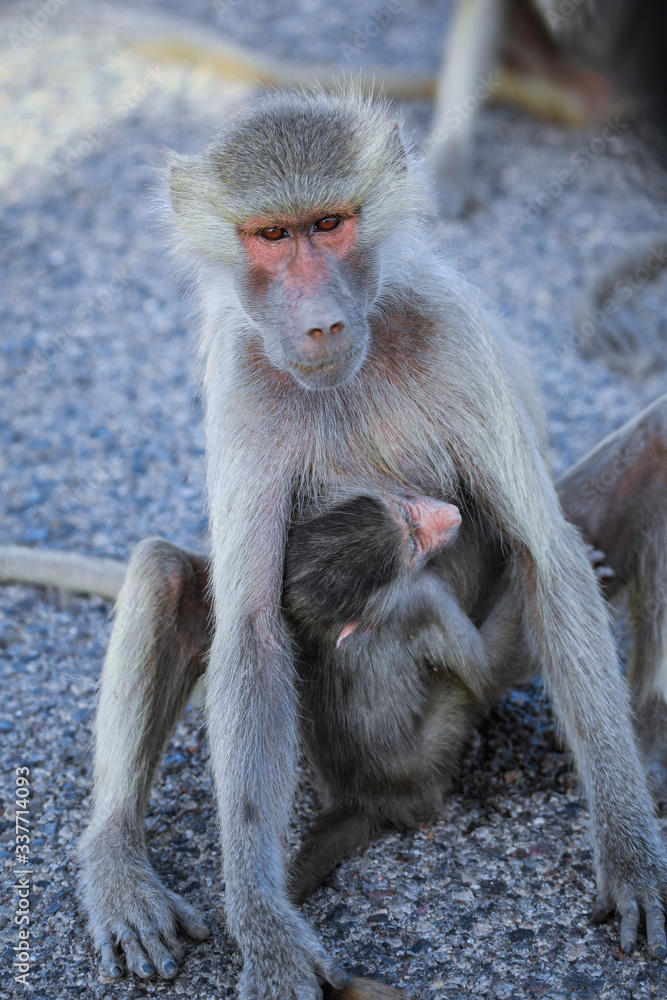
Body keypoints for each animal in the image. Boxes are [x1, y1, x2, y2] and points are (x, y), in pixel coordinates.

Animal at [2, 89, 663, 999]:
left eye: (329, 223)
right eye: (271, 235)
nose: (317, 325)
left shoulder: (452, 334)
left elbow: (546, 556)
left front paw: (629, 855)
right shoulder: (245, 372)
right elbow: (249, 628)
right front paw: (266, 929)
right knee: (167, 573)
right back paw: (117, 866)